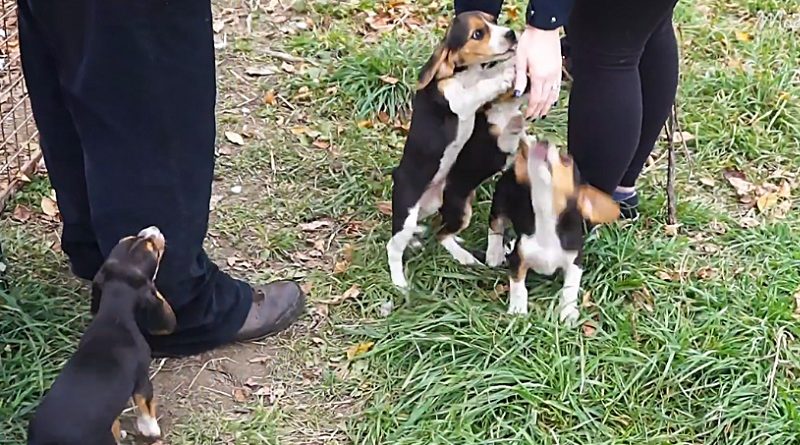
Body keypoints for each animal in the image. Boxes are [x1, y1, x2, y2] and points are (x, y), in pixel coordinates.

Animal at [29, 227, 178, 442]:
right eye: (152, 248)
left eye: (127, 238)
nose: (152, 229)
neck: (114, 314)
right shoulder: (142, 379)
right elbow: (146, 407)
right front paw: (151, 430)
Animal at [384, 11, 520, 288]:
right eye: (478, 34)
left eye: (493, 21)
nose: (511, 34)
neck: (468, 74)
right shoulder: (456, 99)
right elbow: (478, 90)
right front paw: (504, 76)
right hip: (408, 214)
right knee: (394, 246)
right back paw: (399, 282)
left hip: (443, 205)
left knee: (440, 229)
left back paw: (457, 251)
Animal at [484, 136, 620, 322]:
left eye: (567, 160)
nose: (543, 141)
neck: (545, 215)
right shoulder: (519, 260)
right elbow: (519, 287)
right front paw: (518, 309)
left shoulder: (575, 262)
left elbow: (570, 288)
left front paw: (568, 313)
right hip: (499, 206)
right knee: (495, 228)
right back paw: (494, 253)